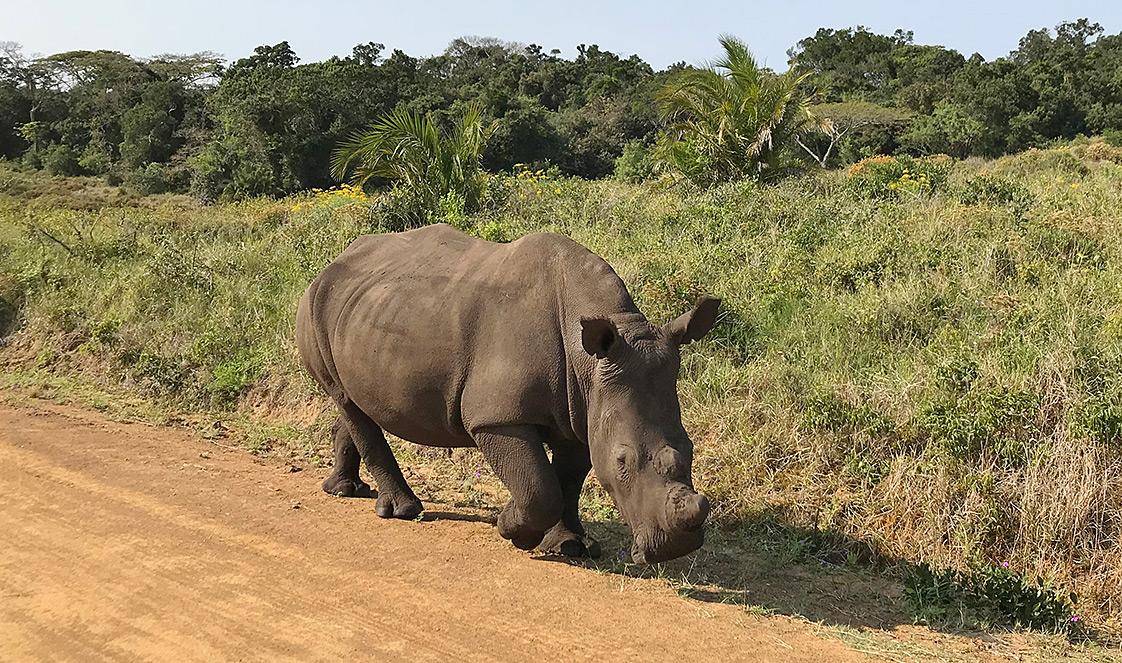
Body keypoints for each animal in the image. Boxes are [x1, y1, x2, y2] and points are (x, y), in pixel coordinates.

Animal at [296, 224, 719, 563]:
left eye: (692, 448)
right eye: (622, 461)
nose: (674, 548)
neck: (588, 361)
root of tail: (333, 262)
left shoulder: (584, 409)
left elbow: (568, 480)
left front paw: (570, 546)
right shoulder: (497, 418)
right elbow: (541, 488)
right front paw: (511, 529)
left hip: (366, 310)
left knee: (352, 403)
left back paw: (345, 491)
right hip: (314, 305)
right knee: (345, 399)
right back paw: (403, 510)